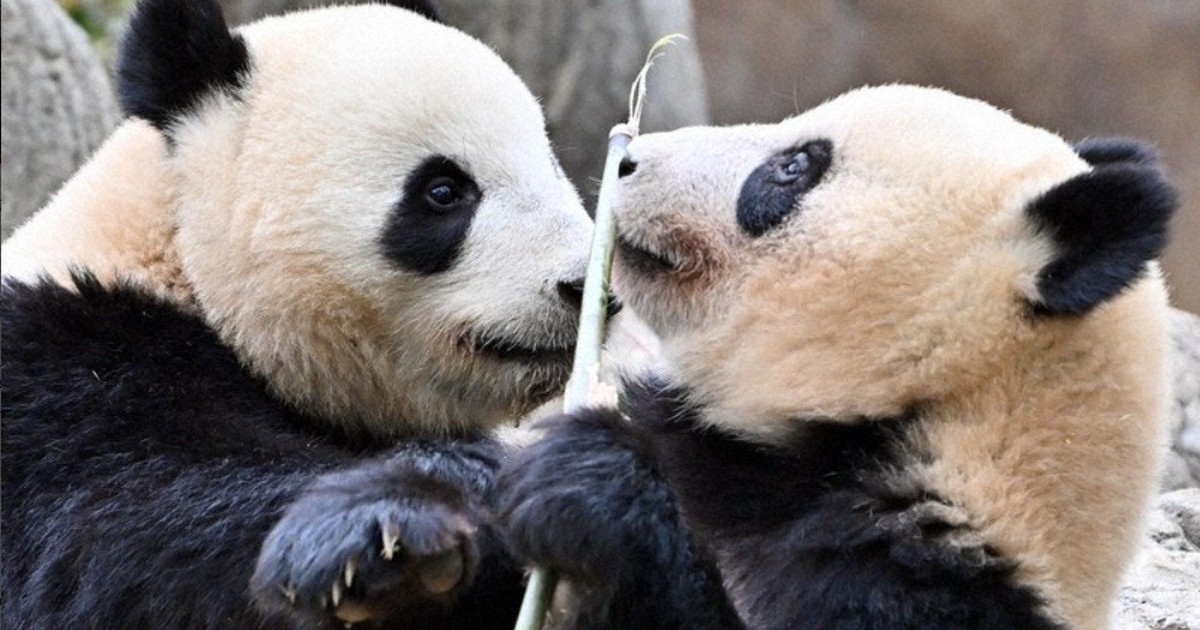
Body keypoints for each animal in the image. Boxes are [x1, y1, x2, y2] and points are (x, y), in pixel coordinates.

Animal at [0, 0, 598, 628]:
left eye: (552, 165)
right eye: (443, 191)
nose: (583, 284)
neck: (178, 264)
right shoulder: (56, 372)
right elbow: (124, 526)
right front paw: (385, 533)